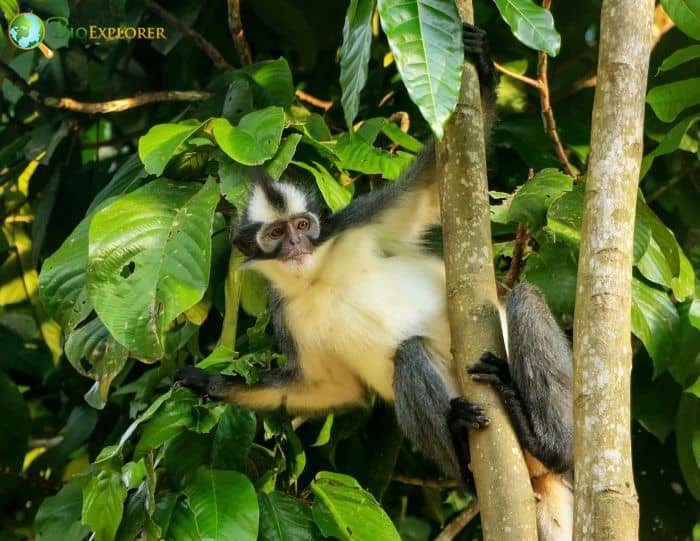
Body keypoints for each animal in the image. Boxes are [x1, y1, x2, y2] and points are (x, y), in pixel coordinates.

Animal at [172, 24, 572, 540]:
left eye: (303, 226)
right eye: (276, 235)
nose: (296, 245)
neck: (318, 277)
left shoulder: (356, 222)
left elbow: (429, 187)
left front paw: (480, 63)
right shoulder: (288, 316)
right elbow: (328, 387)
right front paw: (208, 384)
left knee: (520, 298)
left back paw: (545, 441)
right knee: (409, 354)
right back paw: (463, 447)